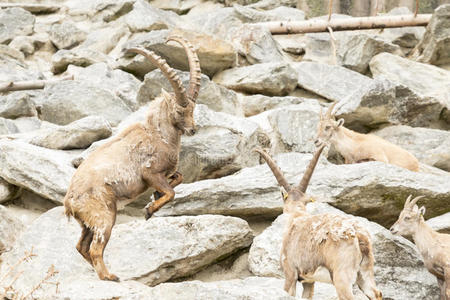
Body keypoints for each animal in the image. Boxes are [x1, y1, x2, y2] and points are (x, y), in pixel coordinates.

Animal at [64, 37, 201, 282]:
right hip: (104, 216)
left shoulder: (164, 174)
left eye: (193, 109)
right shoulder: (149, 172)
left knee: (82, 246)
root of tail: (70, 202)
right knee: (95, 248)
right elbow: (171, 192)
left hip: (88, 222)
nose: (193, 129)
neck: (159, 135)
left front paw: (153, 201)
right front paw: (148, 210)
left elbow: (178, 179)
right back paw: (110, 276)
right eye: (179, 111)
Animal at [255, 148, 382, 300]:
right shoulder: (309, 280)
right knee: (376, 293)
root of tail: (359, 236)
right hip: (364, 272)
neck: (296, 216)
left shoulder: (290, 272)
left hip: (341, 276)